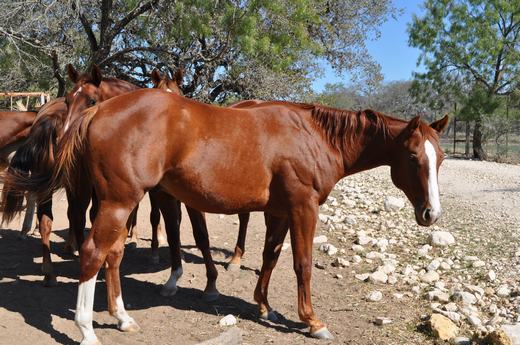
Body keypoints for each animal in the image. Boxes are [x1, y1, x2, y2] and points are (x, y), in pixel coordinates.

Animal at [41, 89, 446, 344]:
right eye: (413, 158)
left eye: (439, 158)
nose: (431, 214)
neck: (314, 137)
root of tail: (99, 110)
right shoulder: (303, 208)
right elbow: (302, 264)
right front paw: (312, 321)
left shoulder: (278, 212)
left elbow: (270, 257)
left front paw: (264, 306)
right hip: (119, 202)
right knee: (93, 253)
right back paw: (87, 330)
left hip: (121, 204)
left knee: (112, 255)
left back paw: (122, 318)